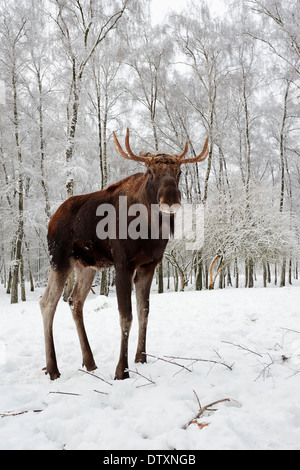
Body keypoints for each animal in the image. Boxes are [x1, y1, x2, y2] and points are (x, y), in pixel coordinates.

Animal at [39, 127, 209, 378]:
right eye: (150, 171)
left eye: (179, 171)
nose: (170, 199)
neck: (150, 231)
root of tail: (51, 219)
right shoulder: (123, 264)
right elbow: (125, 316)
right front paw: (122, 370)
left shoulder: (149, 265)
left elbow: (143, 312)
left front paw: (141, 358)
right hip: (59, 260)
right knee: (47, 303)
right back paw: (53, 369)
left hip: (86, 265)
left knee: (75, 301)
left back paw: (89, 361)